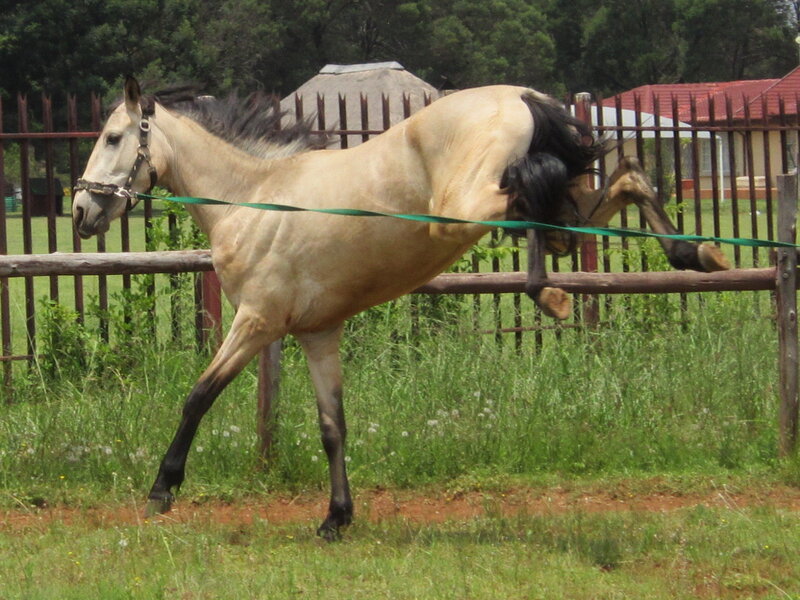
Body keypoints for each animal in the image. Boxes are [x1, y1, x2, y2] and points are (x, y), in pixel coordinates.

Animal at [72, 77, 727, 539]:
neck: (251, 199)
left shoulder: (256, 322)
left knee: (526, 193)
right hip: (556, 211)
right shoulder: (318, 334)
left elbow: (198, 396)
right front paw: (336, 518)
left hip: (462, 210)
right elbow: (332, 427)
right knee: (625, 177)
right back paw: (697, 251)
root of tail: (519, 96)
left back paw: (551, 293)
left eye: (112, 138)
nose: (81, 211)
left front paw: (162, 490)